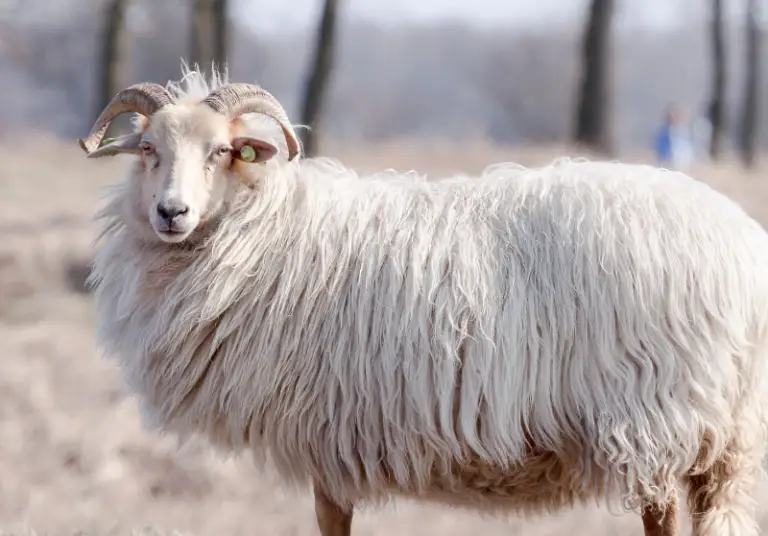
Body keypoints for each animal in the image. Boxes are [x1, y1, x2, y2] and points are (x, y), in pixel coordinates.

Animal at [78, 64, 768, 536]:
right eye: (148, 150)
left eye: (221, 151)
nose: (171, 213)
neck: (267, 228)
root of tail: (741, 242)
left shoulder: (326, 433)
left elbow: (333, 521)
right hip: (720, 438)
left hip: (656, 418)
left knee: (662, 516)